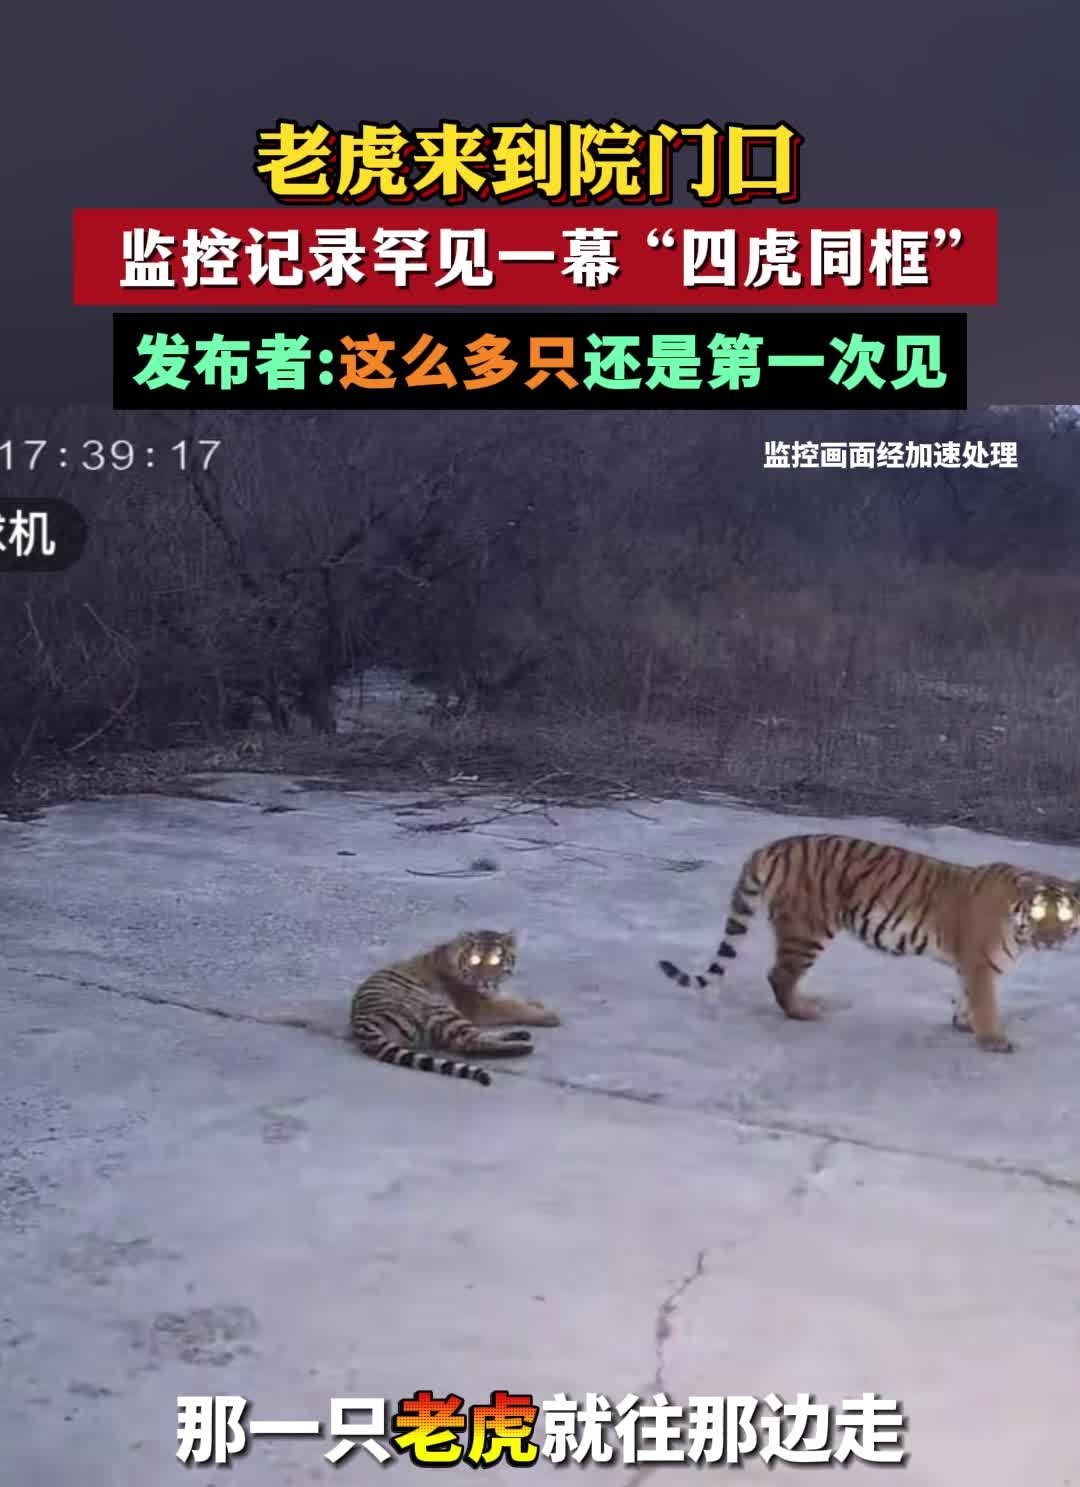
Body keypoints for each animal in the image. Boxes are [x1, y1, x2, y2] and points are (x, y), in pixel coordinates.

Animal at [349, 929, 560, 1086]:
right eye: (475, 960)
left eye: (495, 960)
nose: (484, 980)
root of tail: (361, 1022)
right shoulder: (481, 1006)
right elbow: (512, 1006)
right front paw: (549, 1015)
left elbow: (512, 999)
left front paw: (536, 1003)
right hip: (439, 1007)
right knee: (468, 1043)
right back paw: (523, 1047)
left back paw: (520, 1035)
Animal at [658, 833, 1080, 1053]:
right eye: (1038, 914)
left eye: (1063, 916)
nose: (1052, 940)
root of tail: (773, 846)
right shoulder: (979, 963)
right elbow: (986, 1001)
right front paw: (993, 1039)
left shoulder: (968, 965)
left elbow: (965, 996)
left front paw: (964, 1022)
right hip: (807, 930)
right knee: (779, 974)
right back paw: (804, 1011)